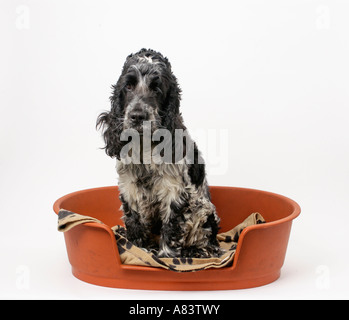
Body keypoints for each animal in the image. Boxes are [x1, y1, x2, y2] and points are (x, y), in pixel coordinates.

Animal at [96, 48, 220, 258]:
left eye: (157, 89)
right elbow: (135, 223)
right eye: (128, 86)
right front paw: (138, 249)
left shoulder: (175, 191)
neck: (144, 146)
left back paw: (196, 252)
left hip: (204, 211)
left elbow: (171, 228)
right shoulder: (129, 188)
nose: (137, 116)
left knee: (208, 242)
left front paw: (166, 257)